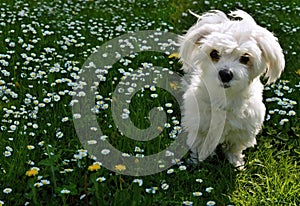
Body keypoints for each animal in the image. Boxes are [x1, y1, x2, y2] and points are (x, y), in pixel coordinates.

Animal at [179, 9, 284, 168]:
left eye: (245, 58)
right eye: (214, 53)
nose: (225, 74)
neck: (225, 97)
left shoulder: (243, 129)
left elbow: (234, 147)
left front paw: (235, 161)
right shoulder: (201, 125)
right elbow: (199, 145)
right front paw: (197, 161)